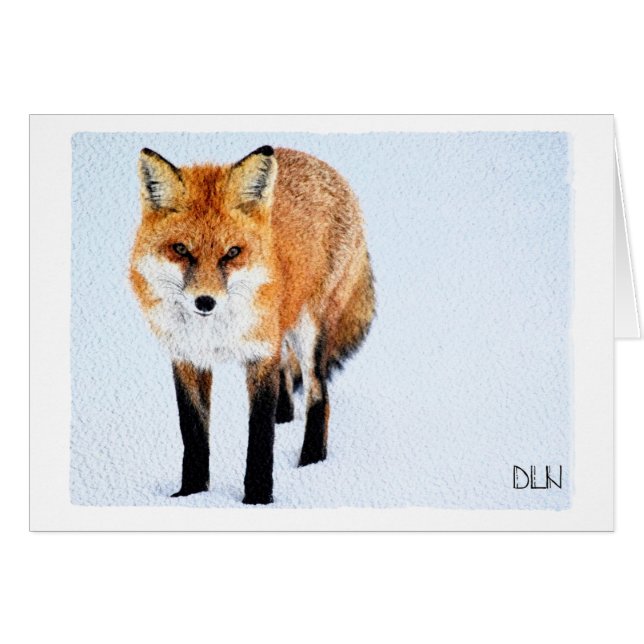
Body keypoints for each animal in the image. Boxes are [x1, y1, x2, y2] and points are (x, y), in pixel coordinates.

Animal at [129, 145, 375, 504]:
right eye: (181, 250)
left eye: (232, 252)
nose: (205, 302)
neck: (214, 333)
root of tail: (321, 164)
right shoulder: (188, 358)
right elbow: (193, 435)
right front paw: (192, 494)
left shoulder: (260, 356)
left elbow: (260, 438)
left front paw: (258, 498)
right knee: (288, 373)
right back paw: (285, 416)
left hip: (309, 330)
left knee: (319, 394)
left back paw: (311, 461)